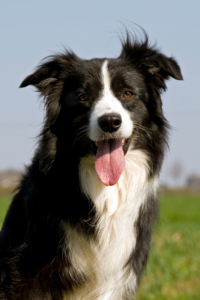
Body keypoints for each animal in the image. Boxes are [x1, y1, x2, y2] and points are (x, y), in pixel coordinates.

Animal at [0, 32, 182, 300]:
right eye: (83, 97)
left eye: (127, 94)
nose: (110, 122)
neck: (103, 192)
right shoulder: (27, 273)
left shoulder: (116, 277)